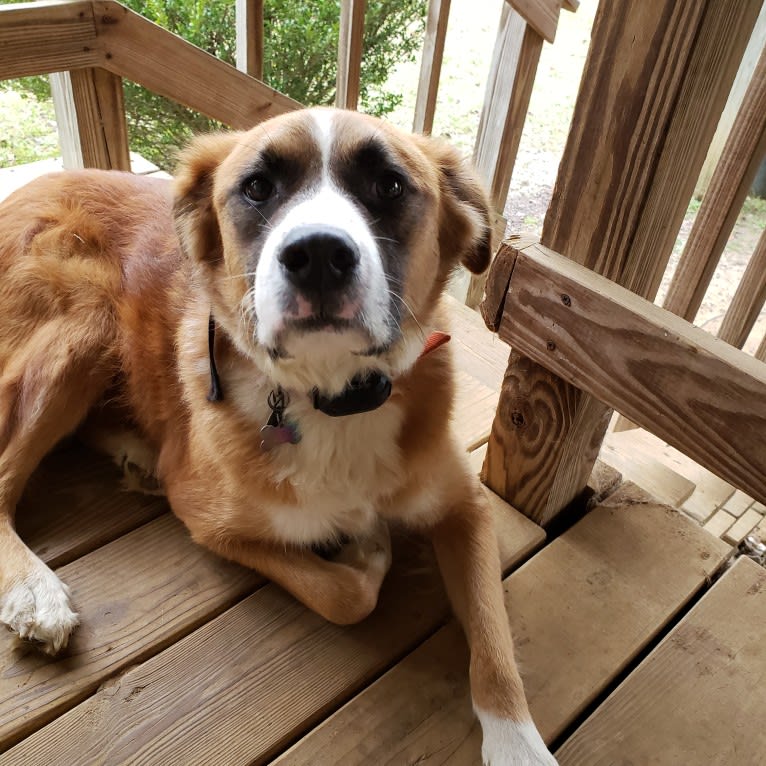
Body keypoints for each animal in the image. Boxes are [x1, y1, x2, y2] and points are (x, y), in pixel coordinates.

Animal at [0, 108, 556, 766]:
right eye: (258, 187)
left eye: (389, 185)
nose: (317, 254)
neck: (331, 396)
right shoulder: (209, 520)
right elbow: (345, 596)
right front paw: (366, 550)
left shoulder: (466, 507)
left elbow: (495, 642)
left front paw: (518, 744)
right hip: (84, 323)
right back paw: (34, 589)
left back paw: (136, 457)